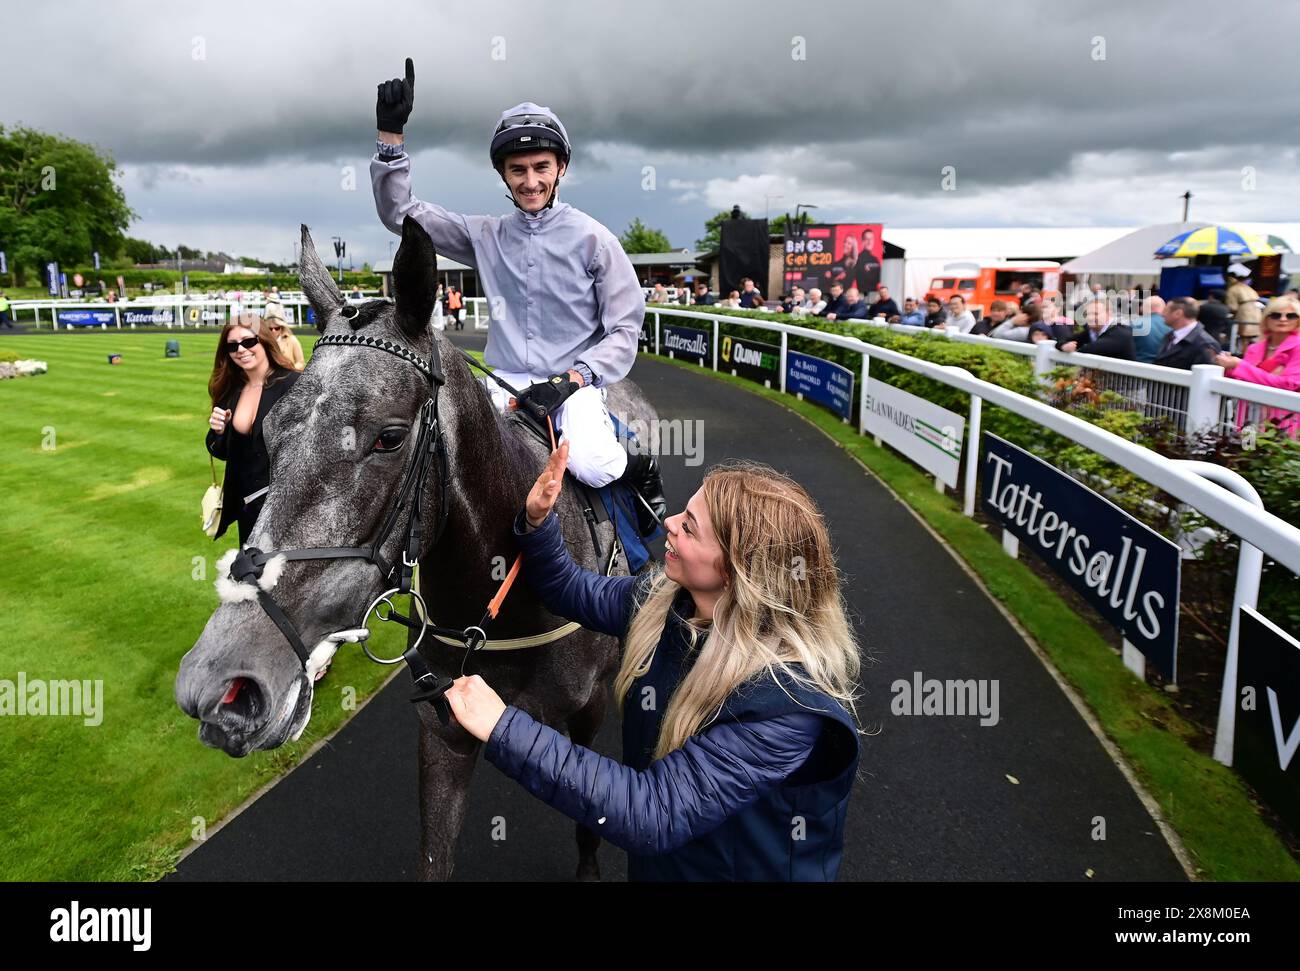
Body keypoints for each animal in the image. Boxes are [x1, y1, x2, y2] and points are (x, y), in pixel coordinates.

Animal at [172, 218, 660, 878]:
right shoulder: (442, 729)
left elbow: (593, 821)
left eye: (389, 437)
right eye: (270, 430)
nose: (221, 684)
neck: (504, 604)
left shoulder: (587, 713)